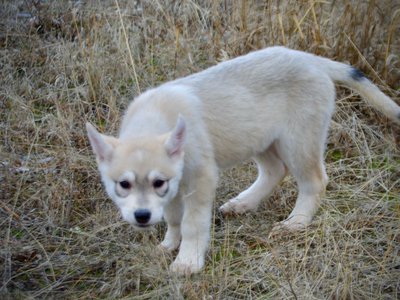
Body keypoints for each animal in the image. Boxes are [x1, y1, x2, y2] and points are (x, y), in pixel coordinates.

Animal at [86, 47, 398, 274]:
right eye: (123, 184)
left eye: (157, 182)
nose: (141, 217)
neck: (153, 120)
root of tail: (311, 60)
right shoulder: (177, 185)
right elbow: (174, 219)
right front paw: (168, 246)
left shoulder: (199, 178)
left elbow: (192, 223)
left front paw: (187, 262)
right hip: (259, 139)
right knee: (275, 171)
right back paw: (243, 204)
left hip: (298, 142)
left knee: (315, 181)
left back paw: (295, 223)